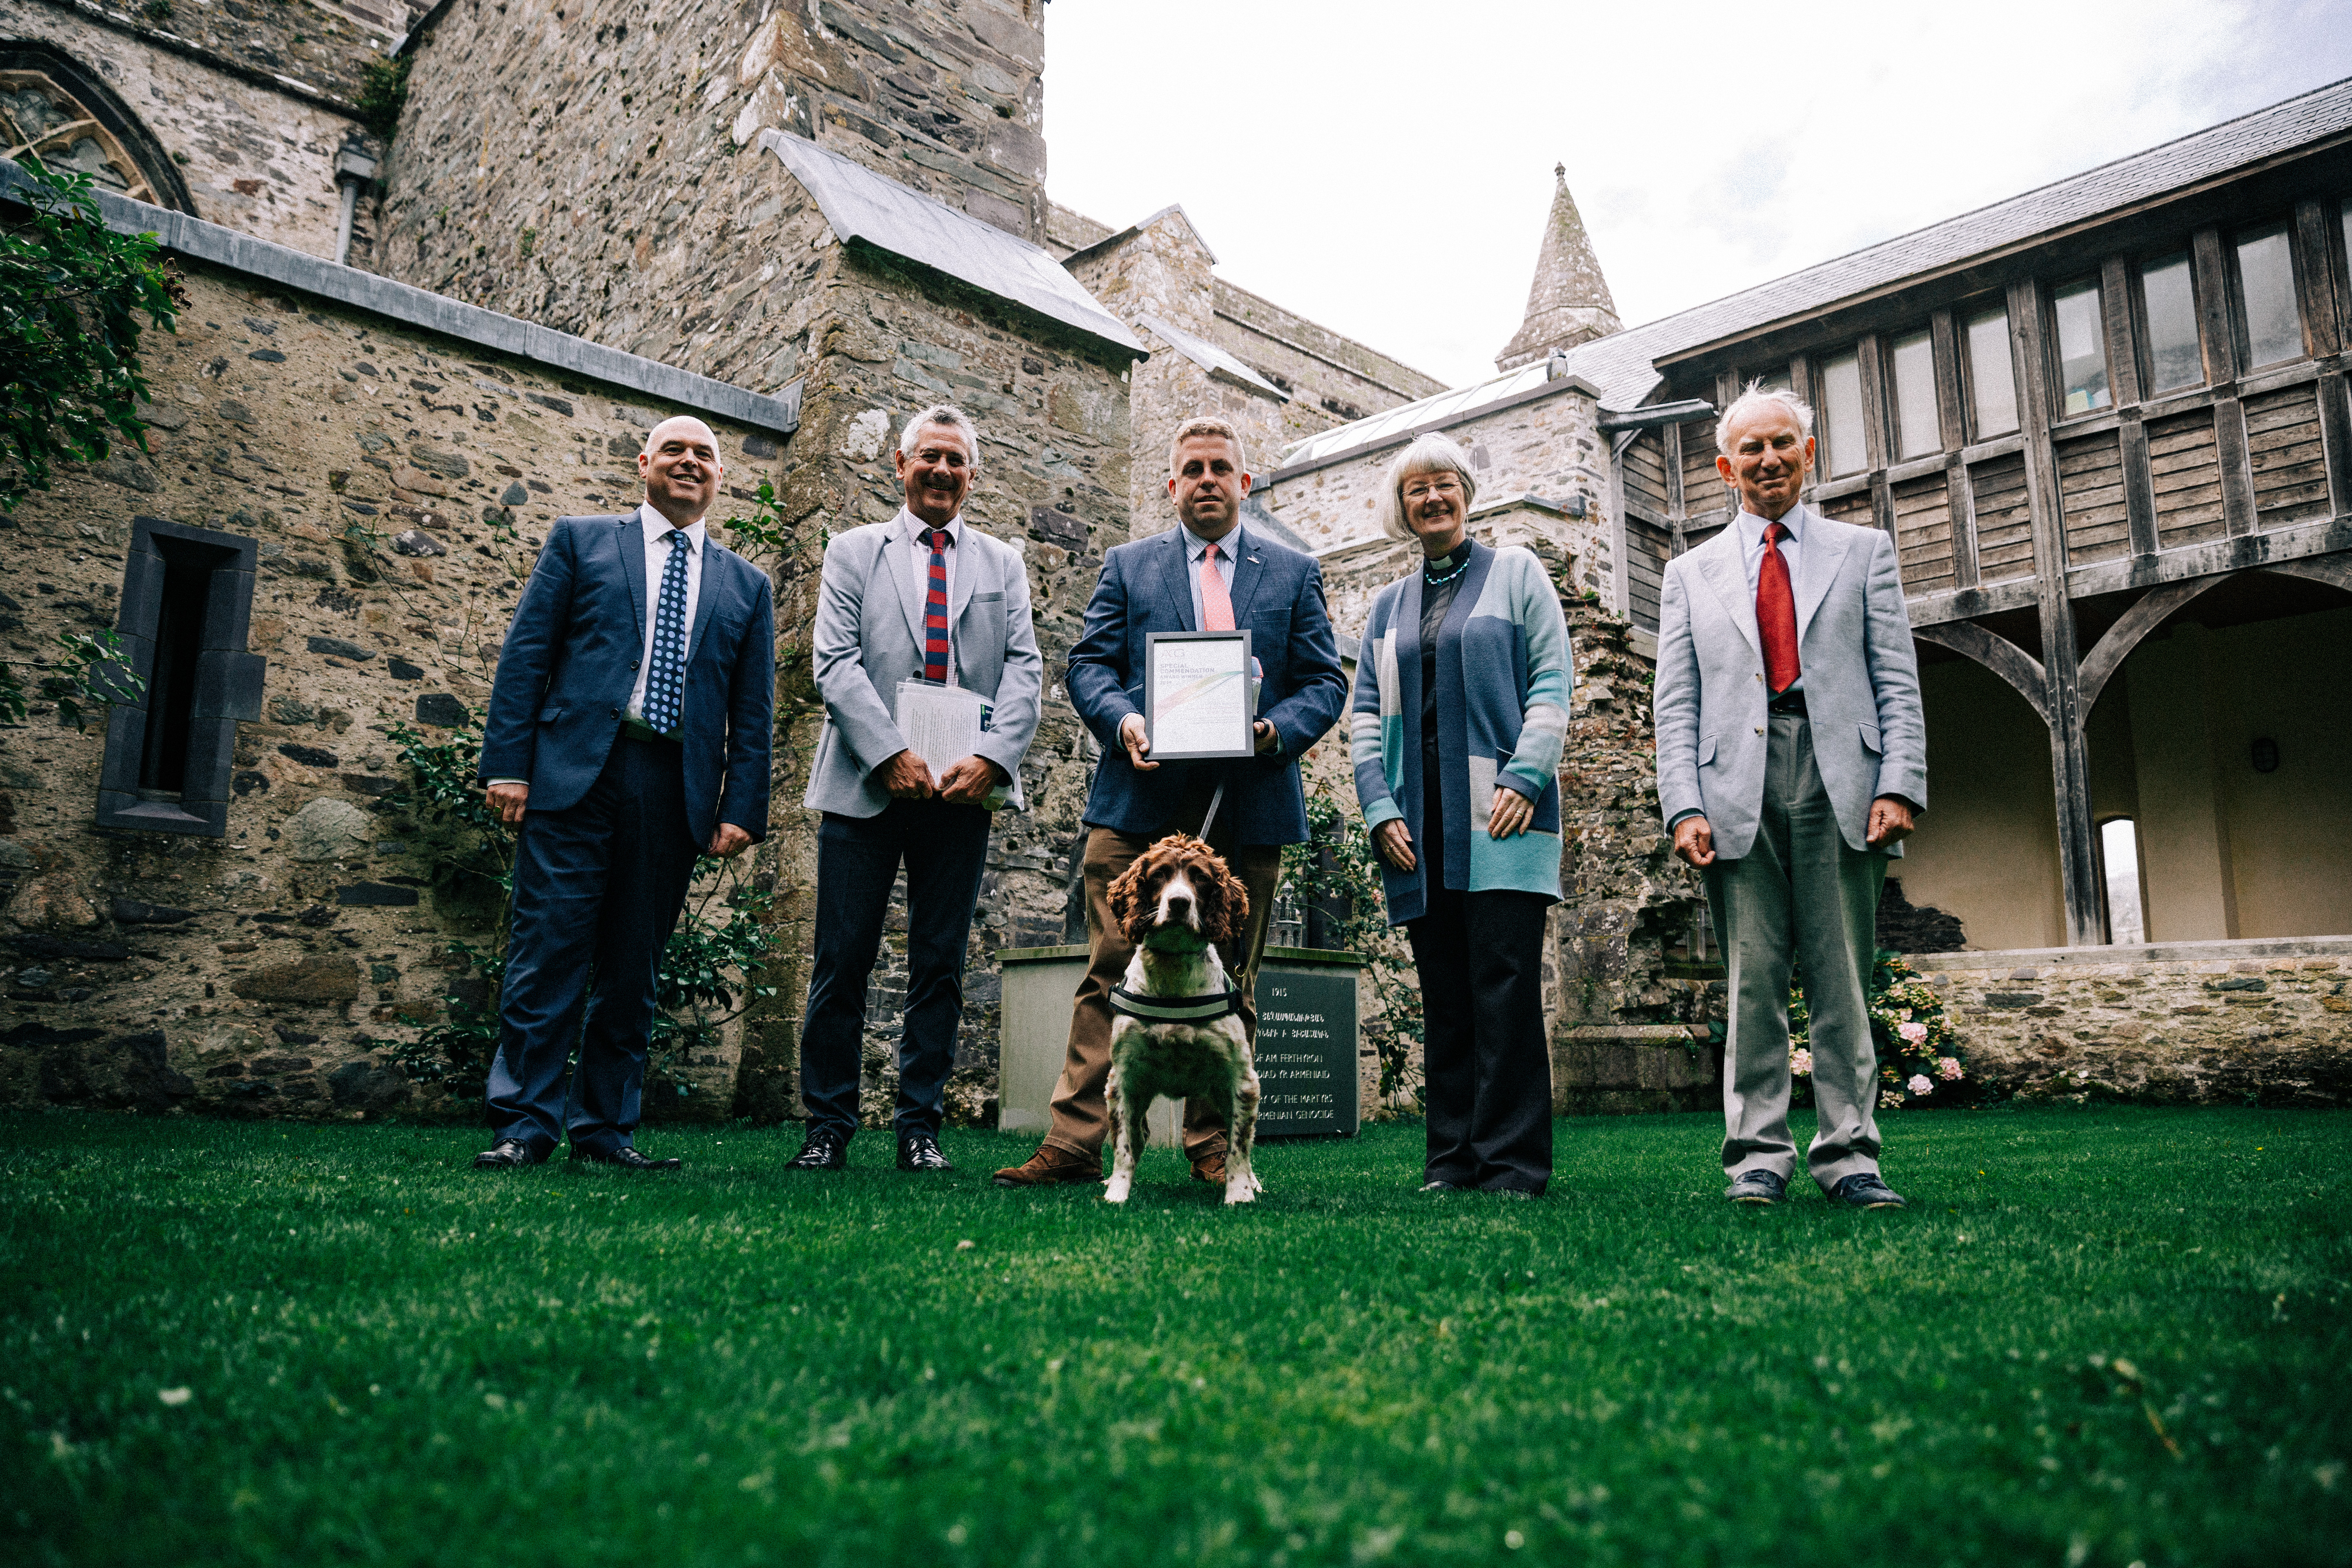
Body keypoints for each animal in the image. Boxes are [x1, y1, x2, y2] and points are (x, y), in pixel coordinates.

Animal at [1096, 842, 1261, 1213]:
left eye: (1200, 878)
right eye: (1159, 875)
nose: (1180, 903)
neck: (1172, 974)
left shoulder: (1241, 1079)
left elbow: (1237, 1147)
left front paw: (1239, 1193)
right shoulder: (1123, 1079)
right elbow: (1123, 1147)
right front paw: (1118, 1193)